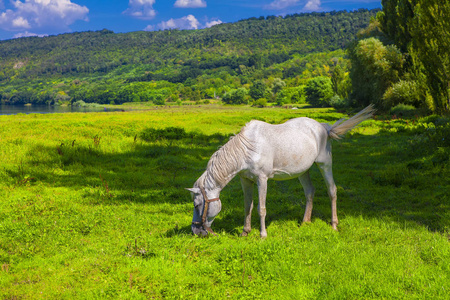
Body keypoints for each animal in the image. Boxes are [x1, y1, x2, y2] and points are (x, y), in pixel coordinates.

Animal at [187, 105, 376, 237]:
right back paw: (305, 222)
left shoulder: (262, 180)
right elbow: (248, 206)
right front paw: (245, 232)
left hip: (325, 164)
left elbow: (261, 208)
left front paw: (263, 235)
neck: (247, 149)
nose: (195, 232)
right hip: (303, 171)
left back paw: (334, 225)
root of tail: (324, 128)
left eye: (197, 205)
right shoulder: (245, 180)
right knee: (310, 192)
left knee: (332, 191)